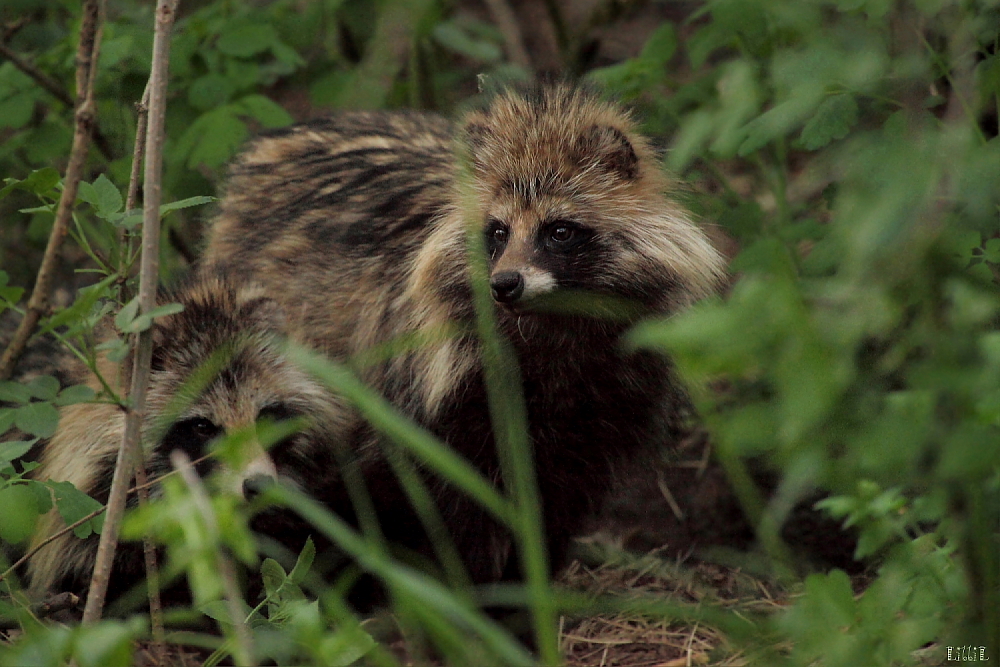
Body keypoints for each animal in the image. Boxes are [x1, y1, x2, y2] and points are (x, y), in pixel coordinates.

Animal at [203, 83, 732, 588]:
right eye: (497, 232)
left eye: (558, 231)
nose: (504, 284)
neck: (552, 327)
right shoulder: (443, 389)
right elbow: (450, 501)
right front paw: (475, 591)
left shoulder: (609, 400)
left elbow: (559, 499)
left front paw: (530, 579)